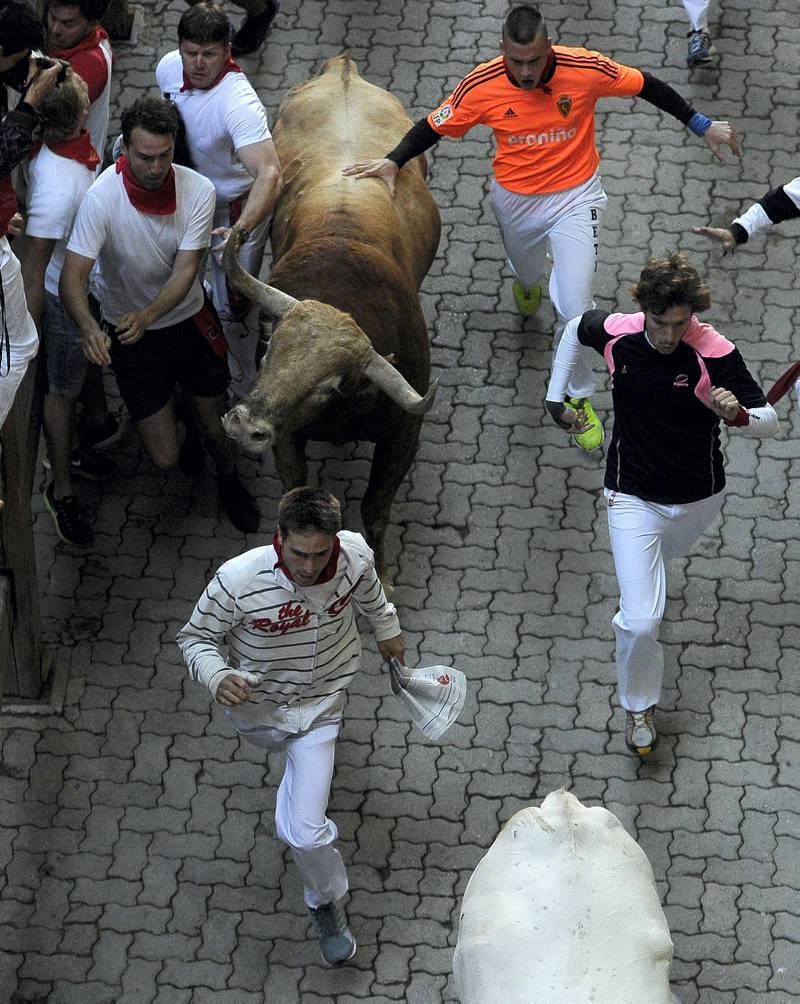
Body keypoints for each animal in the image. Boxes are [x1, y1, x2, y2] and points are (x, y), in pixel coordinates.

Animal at [221, 54, 439, 586]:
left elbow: (375, 510)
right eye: (269, 351)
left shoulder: (403, 435)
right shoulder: (286, 437)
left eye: (327, 385)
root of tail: (344, 68)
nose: (246, 427)